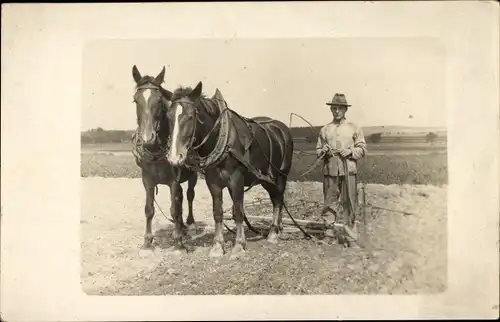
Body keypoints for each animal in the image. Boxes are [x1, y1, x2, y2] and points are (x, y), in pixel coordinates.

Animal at [131, 65, 199, 249]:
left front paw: (178, 241)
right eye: (135, 101)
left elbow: (174, 208)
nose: (148, 138)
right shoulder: (146, 179)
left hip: (193, 175)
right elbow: (149, 209)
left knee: (189, 195)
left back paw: (189, 223)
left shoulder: (174, 180)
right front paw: (147, 241)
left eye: (160, 101)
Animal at [166, 82, 294, 258]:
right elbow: (218, 212)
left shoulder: (236, 179)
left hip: (281, 176)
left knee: (277, 201)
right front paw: (217, 246)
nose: (174, 157)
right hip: (267, 179)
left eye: (190, 117)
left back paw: (274, 233)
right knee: (277, 199)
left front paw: (239, 245)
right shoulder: (213, 182)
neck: (221, 136)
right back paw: (279, 229)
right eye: (168, 117)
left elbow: (239, 212)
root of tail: (282, 129)